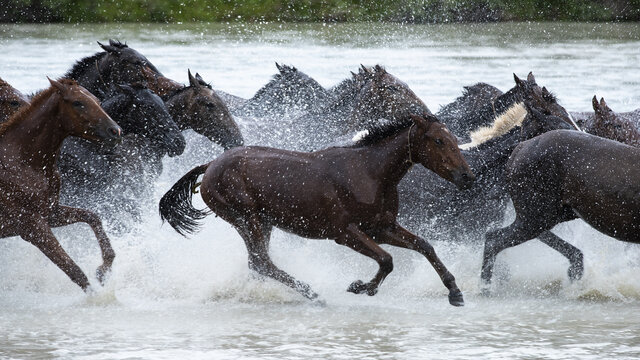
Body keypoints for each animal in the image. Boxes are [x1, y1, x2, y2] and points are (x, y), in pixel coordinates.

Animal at [0, 77, 122, 292]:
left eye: (98, 100)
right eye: (78, 103)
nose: (115, 131)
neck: (24, 163)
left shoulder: (51, 213)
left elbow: (92, 217)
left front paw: (103, 269)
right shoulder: (31, 227)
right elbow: (75, 271)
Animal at [160, 114, 476, 306]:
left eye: (454, 139)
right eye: (439, 140)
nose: (467, 176)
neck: (371, 173)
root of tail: (210, 166)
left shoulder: (380, 227)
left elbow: (424, 246)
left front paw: (455, 292)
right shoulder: (345, 232)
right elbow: (386, 260)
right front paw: (361, 286)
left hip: (263, 222)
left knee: (257, 263)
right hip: (245, 217)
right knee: (261, 262)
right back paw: (313, 294)